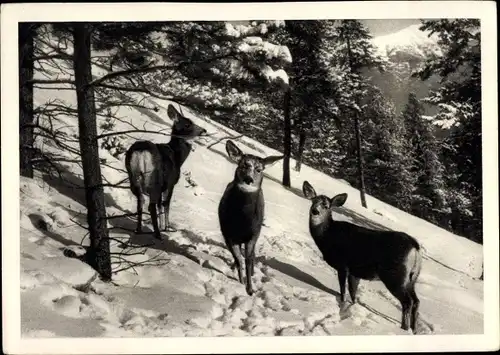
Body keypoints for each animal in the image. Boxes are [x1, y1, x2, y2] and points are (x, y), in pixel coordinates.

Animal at [125, 104, 207, 241]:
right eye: (187, 124)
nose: (204, 130)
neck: (177, 156)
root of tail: (141, 152)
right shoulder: (170, 183)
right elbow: (166, 204)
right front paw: (167, 227)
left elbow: (160, 206)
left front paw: (162, 225)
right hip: (154, 180)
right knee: (151, 205)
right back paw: (158, 235)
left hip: (133, 177)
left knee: (140, 201)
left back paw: (138, 230)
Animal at [218, 140, 284, 296]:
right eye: (243, 165)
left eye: (259, 169)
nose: (249, 179)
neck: (241, 220)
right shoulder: (228, 234)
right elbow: (238, 259)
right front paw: (241, 281)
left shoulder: (253, 235)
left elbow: (248, 259)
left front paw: (250, 289)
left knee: (251, 255)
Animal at [302, 182, 424, 336]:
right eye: (314, 201)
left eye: (326, 205)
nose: (315, 211)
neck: (328, 236)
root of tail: (415, 247)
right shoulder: (355, 272)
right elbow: (353, 293)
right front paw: (352, 308)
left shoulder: (343, 264)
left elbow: (343, 291)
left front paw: (342, 305)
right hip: (412, 278)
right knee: (417, 301)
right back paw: (414, 329)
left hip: (395, 274)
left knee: (408, 302)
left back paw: (403, 328)